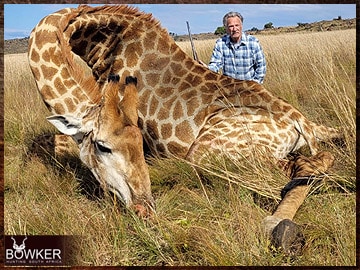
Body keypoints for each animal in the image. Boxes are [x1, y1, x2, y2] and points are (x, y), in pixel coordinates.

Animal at [28, 4, 344, 252]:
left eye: (137, 142)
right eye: (103, 146)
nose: (145, 210)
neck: (102, 48)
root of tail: (299, 120)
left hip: (208, 152)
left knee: (304, 164)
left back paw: (279, 227)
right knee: (328, 148)